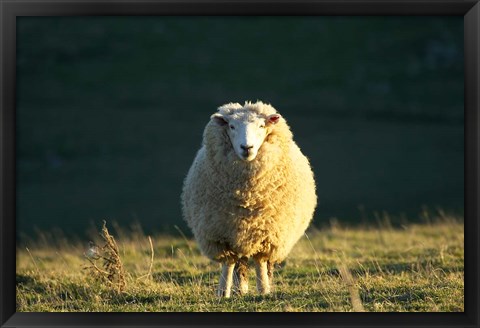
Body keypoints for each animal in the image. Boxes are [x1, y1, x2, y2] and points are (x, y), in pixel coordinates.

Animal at [180, 101, 316, 298]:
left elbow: (260, 263)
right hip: (239, 235)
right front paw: (223, 292)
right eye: (231, 126)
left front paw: (264, 291)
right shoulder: (222, 235)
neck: (248, 198)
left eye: (261, 126)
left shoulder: (266, 234)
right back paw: (240, 289)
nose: (247, 147)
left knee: (265, 265)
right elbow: (228, 264)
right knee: (240, 265)